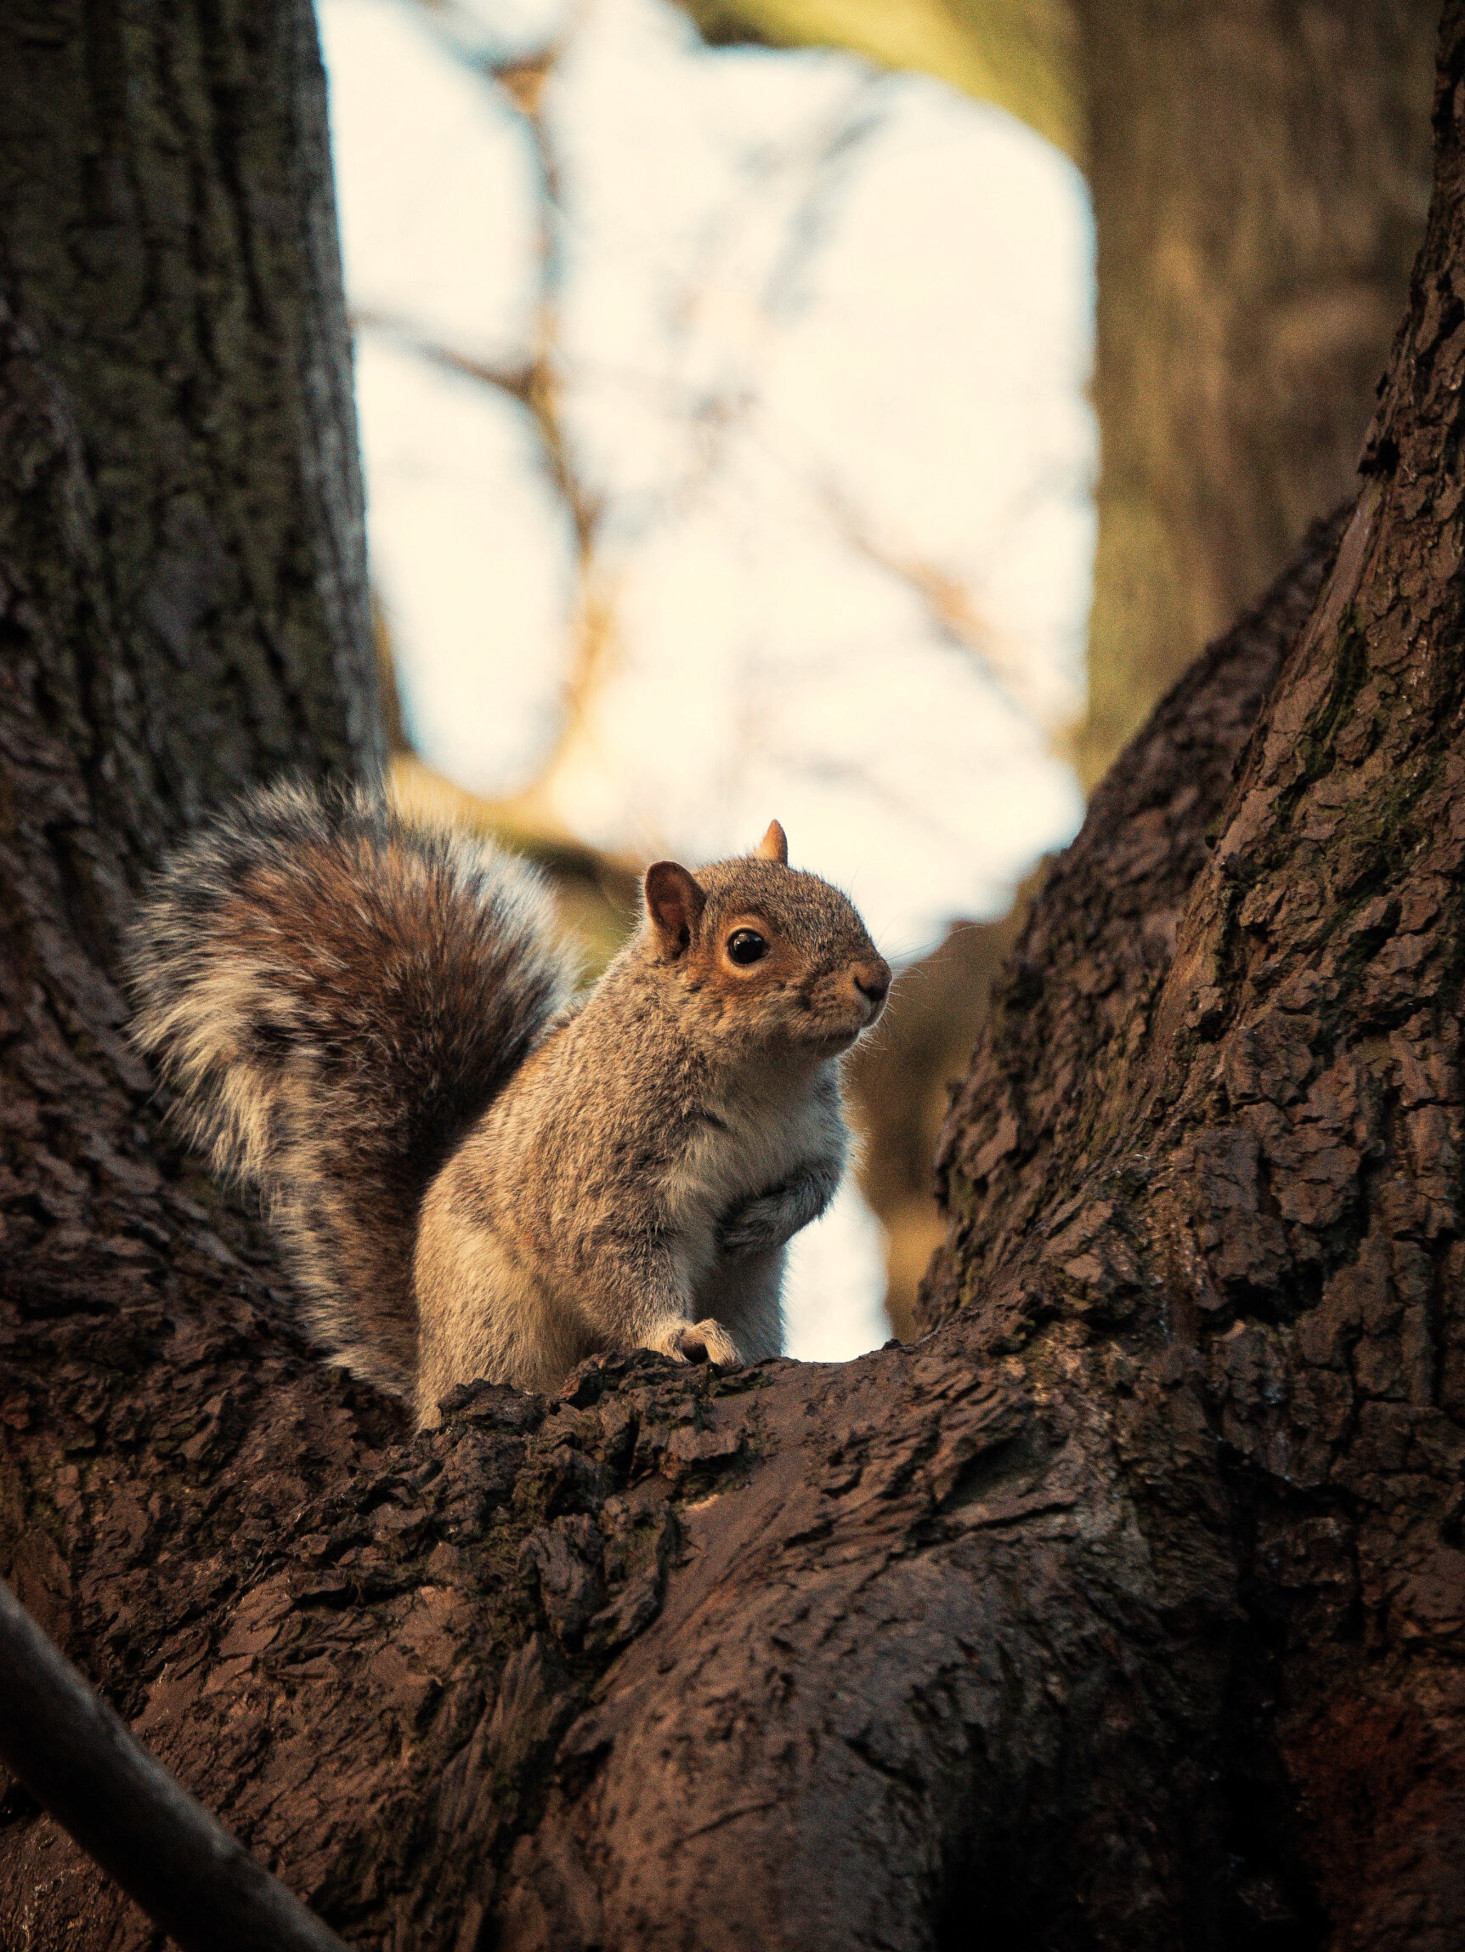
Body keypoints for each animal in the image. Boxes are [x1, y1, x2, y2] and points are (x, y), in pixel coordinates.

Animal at [125, 780, 889, 1436]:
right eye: (746, 946)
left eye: (842, 903)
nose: (876, 980)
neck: (763, 1079)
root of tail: (428, 1371)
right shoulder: (602, 1164)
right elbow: (613, 1258)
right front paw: (676, 1336)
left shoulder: (814, 1133)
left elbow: (819, 1184)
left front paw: (763, 1222)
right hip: (494, 1319)